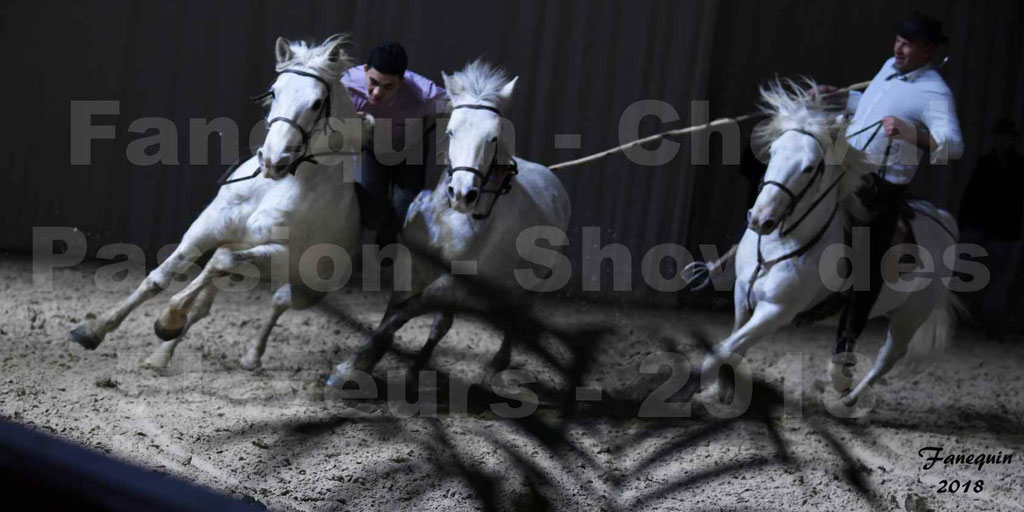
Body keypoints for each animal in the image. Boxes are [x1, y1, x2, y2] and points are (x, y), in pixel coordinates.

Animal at [71, 37, 368, 372]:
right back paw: (162, 353)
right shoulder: (208, 228)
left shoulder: (279, 251)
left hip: (307, 288)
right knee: (206, 300)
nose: (272, 160)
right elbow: (159, 277)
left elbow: (219, 262)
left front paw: (167, 318)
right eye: (274, 91)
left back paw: (249, 355)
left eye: (317, 103)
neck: (276, 186)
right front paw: (93, 330)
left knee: (275, 300)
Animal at [327, 60, 573, 387]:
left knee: (514, 319)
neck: (451, 218)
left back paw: (494, 369)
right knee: (444, 324)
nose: (462, 194)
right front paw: (362, 362)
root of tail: (554, 181)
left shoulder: (453, 281)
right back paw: (416, 370)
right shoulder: (415, 265)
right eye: (450, 131)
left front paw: (350, 367)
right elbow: (396, 311)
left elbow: (406, 311)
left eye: (493, 137)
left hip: (528, 284)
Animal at [704, 79, 958, 405]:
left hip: (909, 317)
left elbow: (720, 351)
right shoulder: (742, 296)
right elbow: (732, 347)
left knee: (887, 358)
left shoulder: (777, 310)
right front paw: (724, 389)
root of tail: (943, 220)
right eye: (773, 151)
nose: (760, 219)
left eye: (810, 167)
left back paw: (848, 399)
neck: (780, 245)